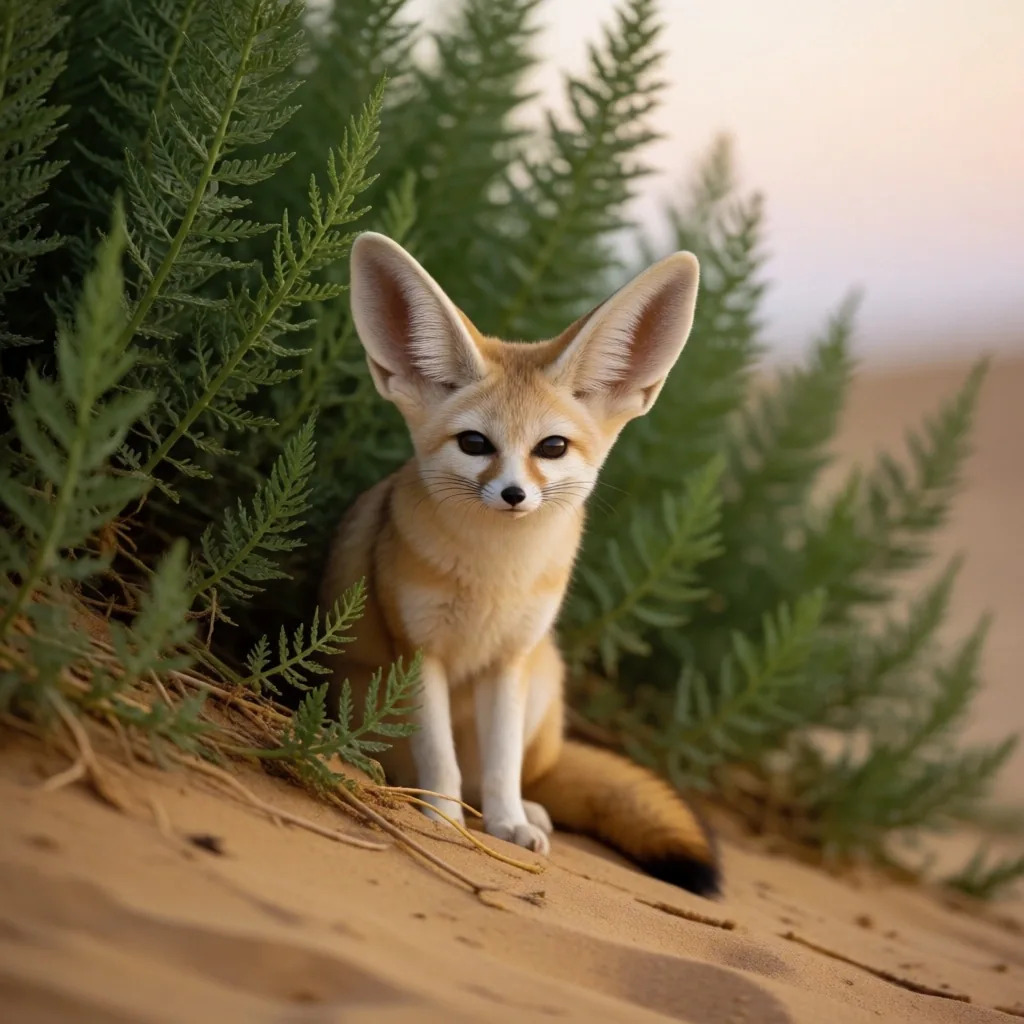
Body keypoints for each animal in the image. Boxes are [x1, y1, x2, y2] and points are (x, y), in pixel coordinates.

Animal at [319, 231, 720, 897]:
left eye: (550, 448)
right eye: (474, 444)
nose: (513, 495)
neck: (493, 579)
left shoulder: (509, 659)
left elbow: (502, 764)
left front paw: (506, 825)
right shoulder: (420, 652)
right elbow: (440, 760)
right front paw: (444, 821)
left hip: (543, 674)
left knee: (521, 776)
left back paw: (525, 810)